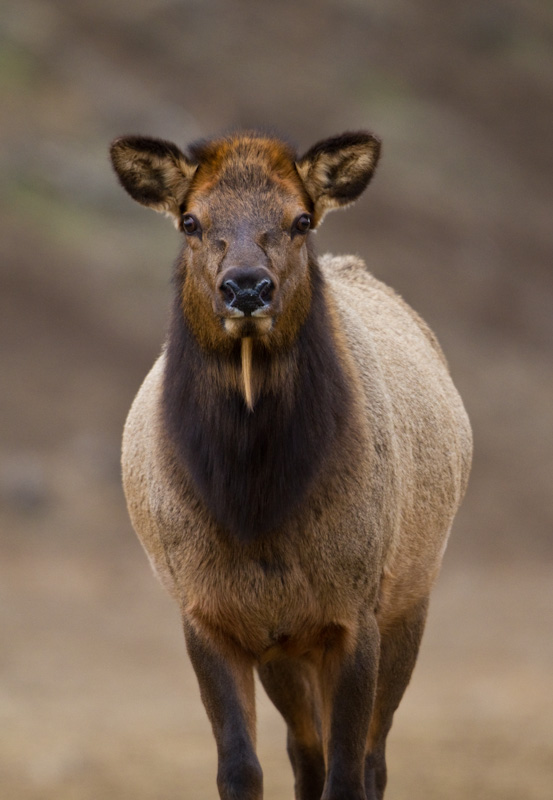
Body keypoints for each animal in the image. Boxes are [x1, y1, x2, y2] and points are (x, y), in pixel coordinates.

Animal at [111, 128, 470, 796]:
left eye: (301, 219)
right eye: (190, 220)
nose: (247, 287)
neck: (256, 506)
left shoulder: (356, 609)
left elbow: (350, 772)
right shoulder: (209, 614)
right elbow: (241, 768)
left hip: (411, 594)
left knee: (373, 759)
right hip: (285, 649)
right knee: (306, 753)